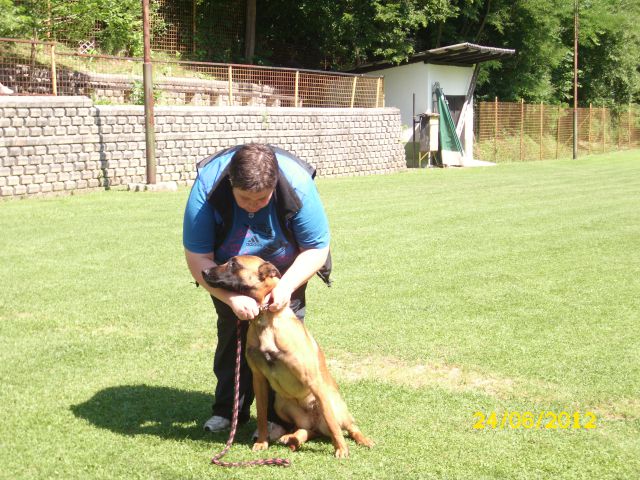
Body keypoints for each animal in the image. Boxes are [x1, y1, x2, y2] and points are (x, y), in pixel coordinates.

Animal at [202, 255, 372, 458]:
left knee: (348, 426)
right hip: (281, 405)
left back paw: (363, 440)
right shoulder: (259, 379)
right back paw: (291, 438)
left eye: (234, 263)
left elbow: (333, 425)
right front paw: (262, 442)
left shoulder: (314, 381)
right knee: (306, 429)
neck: (265, 319)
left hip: (333, 404)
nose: (204, 271)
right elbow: (261, 415)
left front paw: (341, 449)